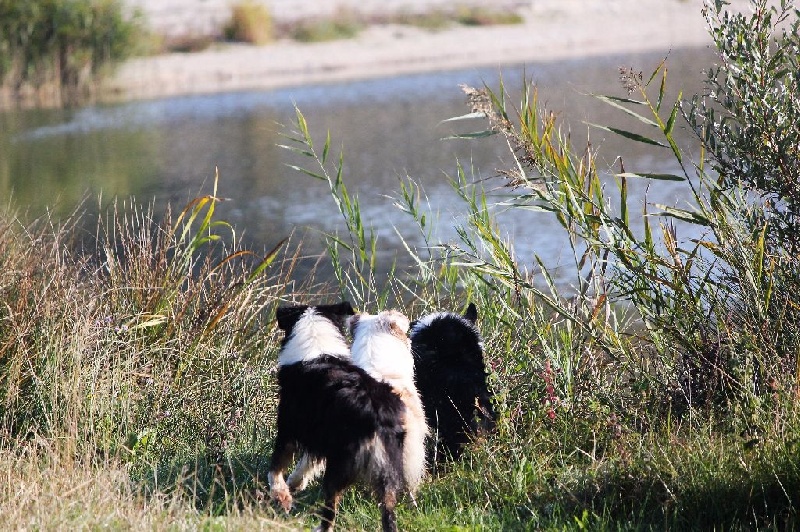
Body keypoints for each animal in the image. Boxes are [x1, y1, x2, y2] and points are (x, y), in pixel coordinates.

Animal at [268, 304, 418, 532]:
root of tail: (377, 417)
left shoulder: (288, 429)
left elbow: (275, 469)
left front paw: (283, 496)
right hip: (390, 470)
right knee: (389, 512)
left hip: (339, 467)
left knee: (330, 510)